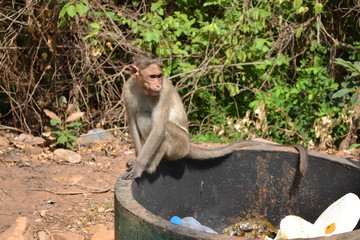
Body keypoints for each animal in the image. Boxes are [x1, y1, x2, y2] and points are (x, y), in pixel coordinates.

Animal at [120, 56, 306, 180]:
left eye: (159, 76)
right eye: (152, 76)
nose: (158, 84)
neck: (144, 90)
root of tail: (189, 145)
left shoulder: (164, 92)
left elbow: (159, 129)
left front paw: (139, 167)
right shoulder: (127, 89)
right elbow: (132, 121)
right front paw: (137, 159)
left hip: (180, 146)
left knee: (166, 129)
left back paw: (151, 166)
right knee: (141, 115)